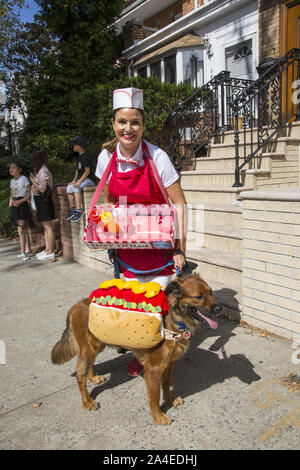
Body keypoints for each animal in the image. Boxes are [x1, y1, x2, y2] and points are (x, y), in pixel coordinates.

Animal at [51, 274, 220, 424]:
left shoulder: (169, 364)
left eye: (211, 292)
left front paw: (170, 400)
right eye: (199, 296)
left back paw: (93, 378)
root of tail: (75, 307)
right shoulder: (154, 369)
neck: (174, 320)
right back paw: (87, 401)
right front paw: (158, 416)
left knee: (90, 364)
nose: (219, 309)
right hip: (89, 348)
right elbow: (154, 396)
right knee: (80, 375)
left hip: (98, 343)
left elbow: (166, 385)